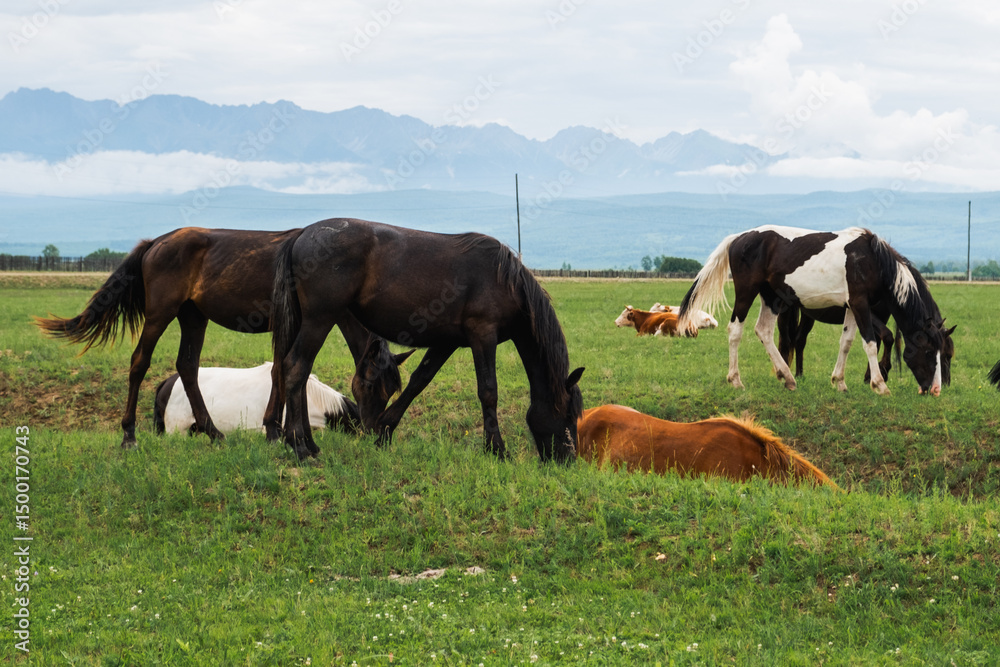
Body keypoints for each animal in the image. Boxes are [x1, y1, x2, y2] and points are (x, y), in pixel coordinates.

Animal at [271, 218, 585, 462]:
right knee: (296, 367)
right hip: (320, 320)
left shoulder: (447, 342)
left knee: (295, 371)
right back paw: (300, 447)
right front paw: (496, 449)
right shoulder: (483, 335)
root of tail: (302, 234)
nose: (568, 460)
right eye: (569, 416)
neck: (506, 281)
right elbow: (488, 391)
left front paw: (384, 432)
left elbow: (418, 382)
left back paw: (305, 443)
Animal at [678, 225, 954, 395]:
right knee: (735, 330)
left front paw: (839, 382)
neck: (873, 260)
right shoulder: (861, 305)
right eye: (929, 351)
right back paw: (736, 380)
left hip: (772, 298)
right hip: (747, 293)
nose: (937, 390)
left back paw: (788, 377)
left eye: (945, 353)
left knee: (764, 332)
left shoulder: (852, 307)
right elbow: (871, 343)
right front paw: (879, 384)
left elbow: (847, 342)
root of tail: (738, 238)